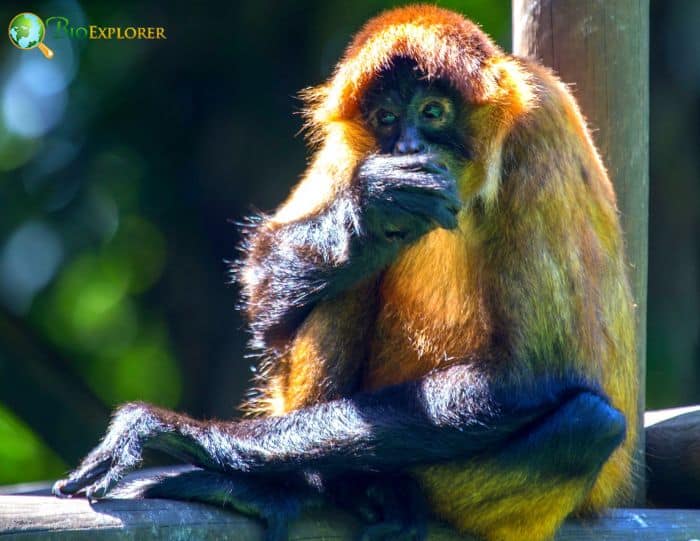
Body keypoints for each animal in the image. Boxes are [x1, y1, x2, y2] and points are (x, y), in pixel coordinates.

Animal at [52, 6, 638, 541]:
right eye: (385, 119)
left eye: (432, 111)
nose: (408, 146)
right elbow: (263, 279)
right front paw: (373, 206)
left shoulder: (538, 124)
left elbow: (531, 373)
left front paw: (181, 435)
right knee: (343, 281)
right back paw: (312, 487)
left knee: (589, 425)